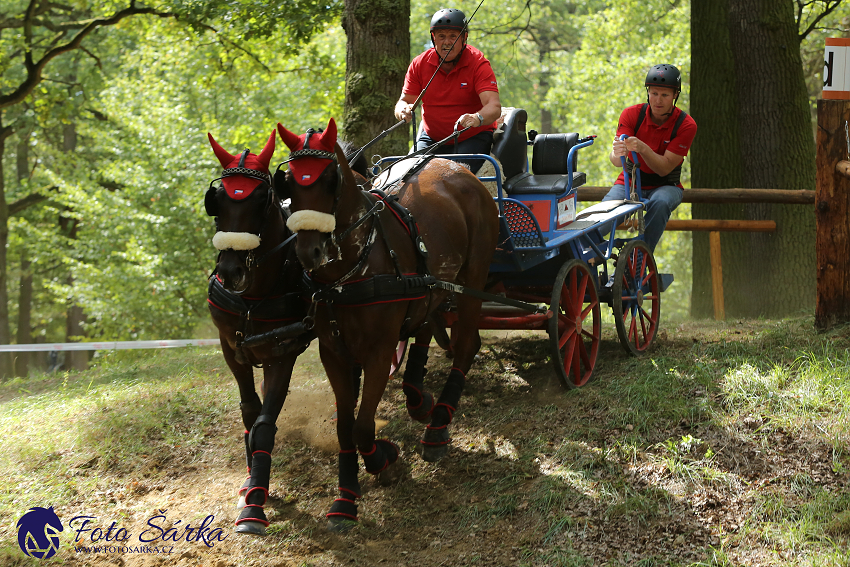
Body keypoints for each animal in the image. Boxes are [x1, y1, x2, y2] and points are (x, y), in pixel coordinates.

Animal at [204, 132, 314, 536]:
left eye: (260, 199)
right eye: (216, 200)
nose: (230, 270)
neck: (254, 295)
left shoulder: (283, 351)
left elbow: (265, 425)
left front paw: (255, 505)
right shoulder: (231, 347)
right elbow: (251, 412)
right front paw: (251, 481)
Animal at [274, 118, 496, 532]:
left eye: (330, 179)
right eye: (289, 183)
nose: (309, 252)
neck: (349, 272)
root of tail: (457, 167)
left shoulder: (377, 352)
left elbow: (362, 426)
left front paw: (384, 461)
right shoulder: (333, 353)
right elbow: (345, 426)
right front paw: (345, 498)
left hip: (473, 276)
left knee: (466, 345)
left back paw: (438, 426)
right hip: (432, 286)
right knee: (427, 327)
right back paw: (420, 400)